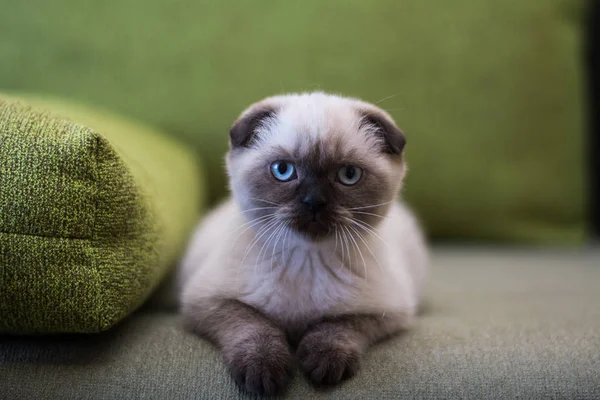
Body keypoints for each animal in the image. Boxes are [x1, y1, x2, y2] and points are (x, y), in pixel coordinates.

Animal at [178, 92, 426, 396]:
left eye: (349, 175)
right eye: (283, 170)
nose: (314, 202)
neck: (306, 259)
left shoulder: (386, 312)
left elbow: (337, 326)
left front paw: (324, 365)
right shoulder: (207, 301)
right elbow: (254, 324)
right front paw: (264, 373)